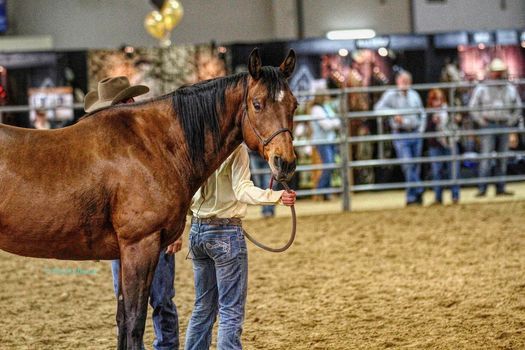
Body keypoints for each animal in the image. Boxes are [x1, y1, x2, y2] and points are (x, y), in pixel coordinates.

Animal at [0, 49, 296, 350]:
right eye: (257, 104)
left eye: (294, 105)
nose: (284, 163)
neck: (153, 144)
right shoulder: (139, 246)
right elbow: (134, 322)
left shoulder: (124, 254)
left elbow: (121, 320)